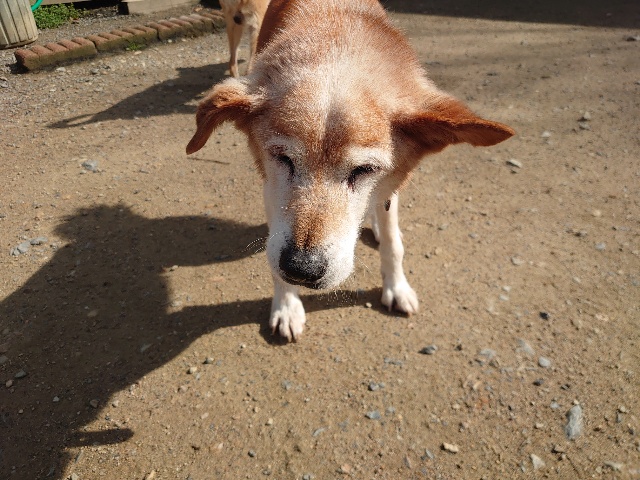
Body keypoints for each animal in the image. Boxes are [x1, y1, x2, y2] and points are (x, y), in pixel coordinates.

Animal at [187, 0, 514, 341]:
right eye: (283, 158)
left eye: (365, 169)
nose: (301, 269)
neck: (338, 45)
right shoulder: (270, 188)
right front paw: (286, 305)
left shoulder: (390, 186)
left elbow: (394, 243)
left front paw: (397, 287)